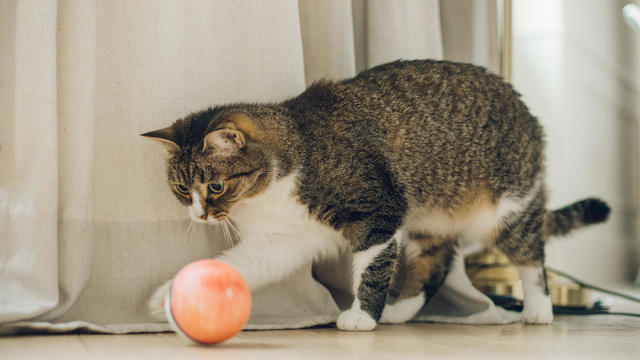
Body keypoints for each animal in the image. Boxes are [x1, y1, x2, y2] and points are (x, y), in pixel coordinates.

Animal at [144, 59, 608, 332]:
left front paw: (362, 317)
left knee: (531, 254)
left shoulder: (379, 211)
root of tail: (527, 110)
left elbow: (371, 267)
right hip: (429, 220)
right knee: (437, 261)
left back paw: (539, 310)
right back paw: (400, 311)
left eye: (215, 186)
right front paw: (169, 295)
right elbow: (239, 265)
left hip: (507, 208)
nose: (199, 215)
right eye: (182, 189)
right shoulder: (283, 240)